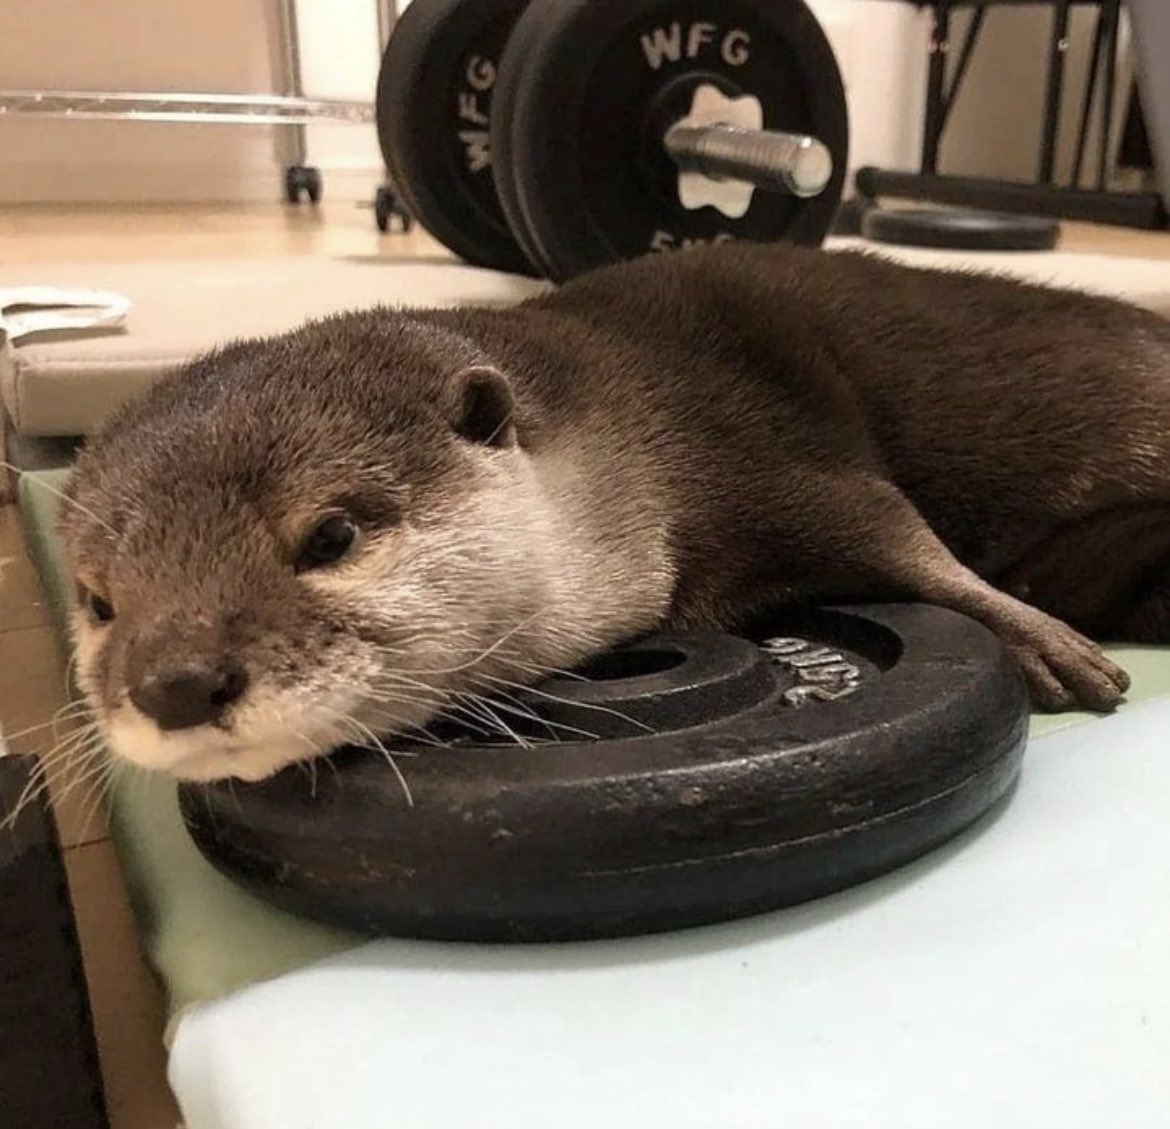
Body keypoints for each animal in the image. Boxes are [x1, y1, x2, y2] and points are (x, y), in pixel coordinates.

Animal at [59, 241, 1170, 783]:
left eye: (330, 536)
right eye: (99, 601)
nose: (175, 682)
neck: (633, 412)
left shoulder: (774, 459)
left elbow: (903, 534)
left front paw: (1044, 644)